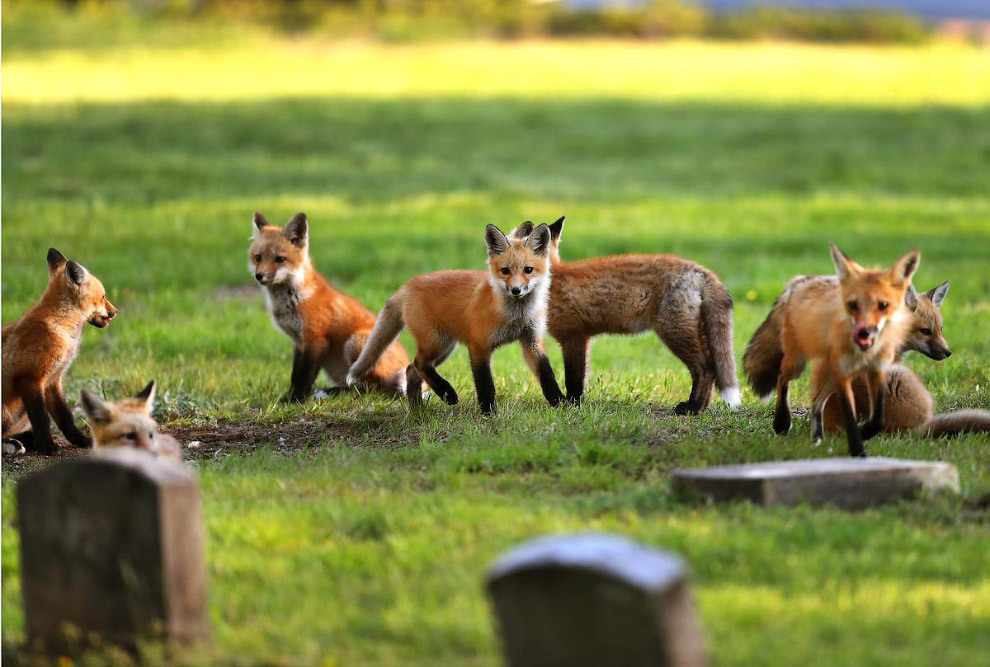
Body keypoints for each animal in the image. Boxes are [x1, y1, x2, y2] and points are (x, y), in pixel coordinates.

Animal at [1, 248, 116, 456]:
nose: (115, 311)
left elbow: (65, 418)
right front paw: (47, 446)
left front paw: (81, 441)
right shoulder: (30, 379)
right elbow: (42, 419)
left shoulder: (53, 381)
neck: (60, 327)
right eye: (103, 297)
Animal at [256, 213, 414, 402]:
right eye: (258, 257)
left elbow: (304, 376)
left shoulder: (315, 339)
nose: (259, 275)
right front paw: (292, 397)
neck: (292, 300)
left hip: (355, 343)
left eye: (279, 259)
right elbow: (295, 374)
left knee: (373, 389)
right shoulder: (299, 342)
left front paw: (296, 400)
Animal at [348, 222, 564, 414]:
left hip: (444, 348)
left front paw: (561, 402)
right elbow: (485, 383)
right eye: (505, 271)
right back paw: (447, 394)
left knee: (411, 368)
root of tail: (408, 285)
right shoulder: (478, 345)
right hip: (437, 343)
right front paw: (489, 412)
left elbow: (547, 374)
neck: (515, 316)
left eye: (528, 270)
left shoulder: (531, 340)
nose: (516, 290)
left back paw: (417, 409)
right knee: (420, 364)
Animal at [516, 217, 740, 414]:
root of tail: (697, 269)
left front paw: (571, 405)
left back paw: (692, 408)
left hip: (675, 332)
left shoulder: (574, 336)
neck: (552, 282)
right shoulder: (581, 338)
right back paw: (700, 407)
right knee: (711, 369)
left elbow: (574, 380)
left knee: (705, 369)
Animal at [748, 245, 928, 460]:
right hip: (799, 363)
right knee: (782, 377)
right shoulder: (844, 375)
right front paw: (858, 451)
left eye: (883, 305)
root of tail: (799, 280)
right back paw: (782, 422)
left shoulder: (876, 370)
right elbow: (849, 418)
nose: (864, 332)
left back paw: (817, 438)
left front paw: (864, 433)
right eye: (852, 305)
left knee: (816, 403)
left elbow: (878, 419)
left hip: (829, 374)